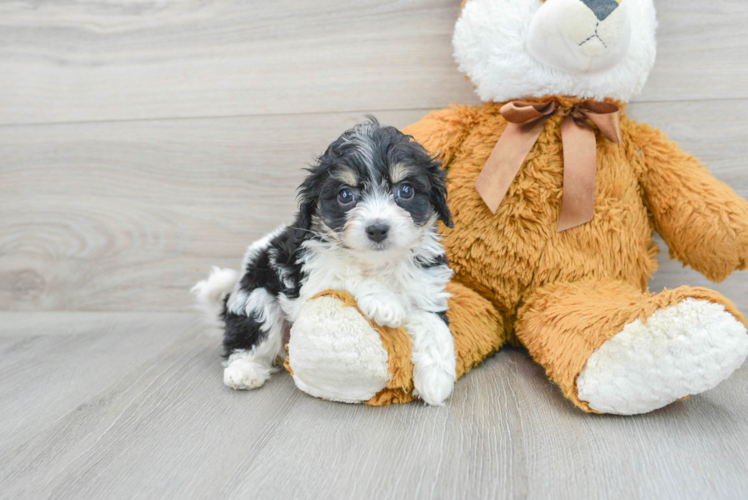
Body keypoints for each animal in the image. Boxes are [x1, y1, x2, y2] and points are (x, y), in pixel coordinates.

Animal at [193, 118, 456, 406]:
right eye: (345, 195)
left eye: (406, 191)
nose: (377, 229)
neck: (377, 262)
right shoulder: (307, 275)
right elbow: (344, 272)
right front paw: (383, 302)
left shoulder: (425, 283)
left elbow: (433, 324)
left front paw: (437, 381)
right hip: (256, 295)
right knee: (250, 335)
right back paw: (244, 371)